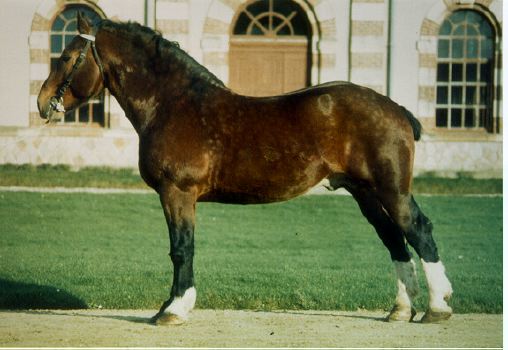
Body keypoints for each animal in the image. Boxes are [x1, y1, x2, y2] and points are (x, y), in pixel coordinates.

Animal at [36, 13, 452, 326]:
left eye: (68, 56)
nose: (43, 103)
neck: (173, 103)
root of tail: (396, 109)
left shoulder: (177, 193)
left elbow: (181, 248)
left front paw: (174, 309)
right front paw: (170, 307)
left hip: (390, 189)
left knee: (417, 230)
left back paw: (438, 307)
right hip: (364, 192)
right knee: (393, 238)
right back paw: (401, 310)